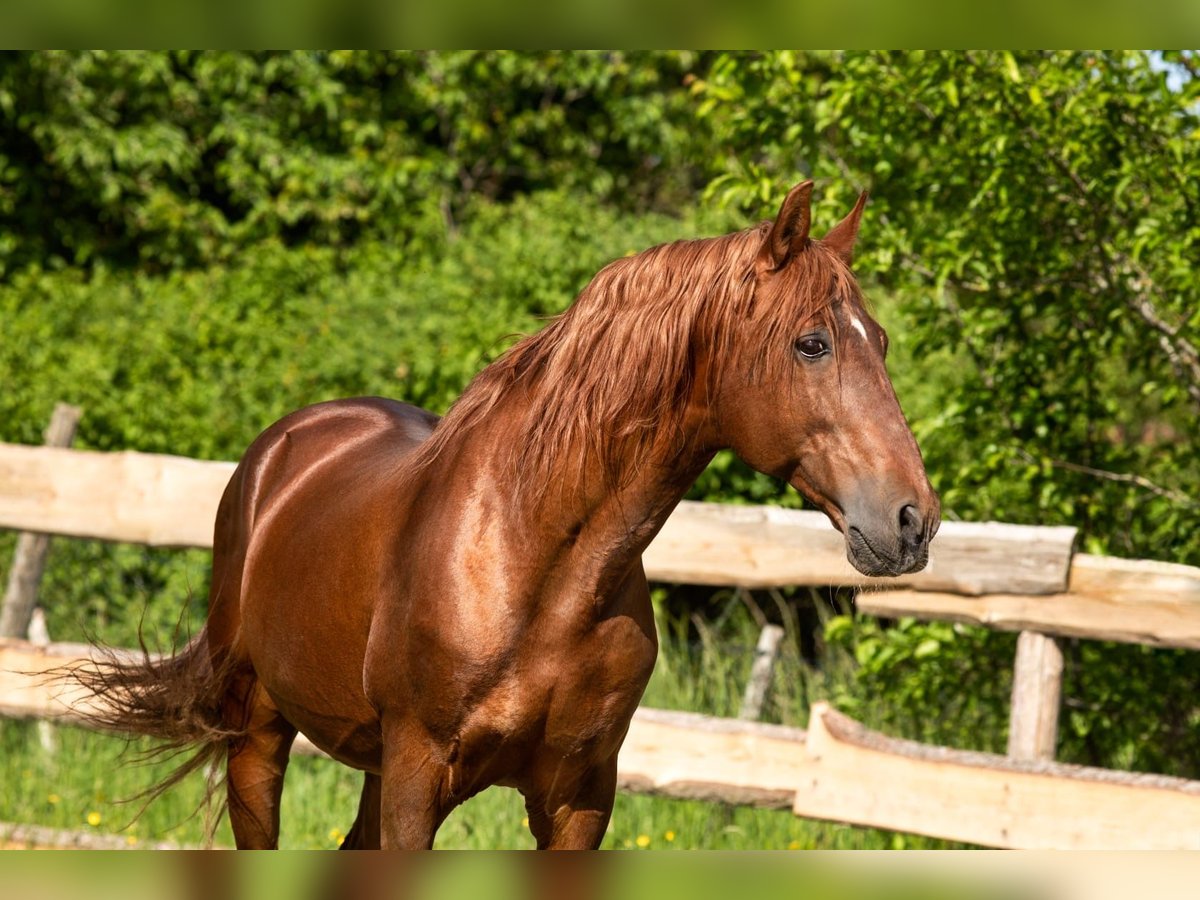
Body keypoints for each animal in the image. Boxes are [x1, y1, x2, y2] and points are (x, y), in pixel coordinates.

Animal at [77, 184, 936, 854]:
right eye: (812, 343)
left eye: (883, 341)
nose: (911, 521)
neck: (536, 566)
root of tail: (284, 449)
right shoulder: (419, 776)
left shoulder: (579, 797)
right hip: (257, 737)